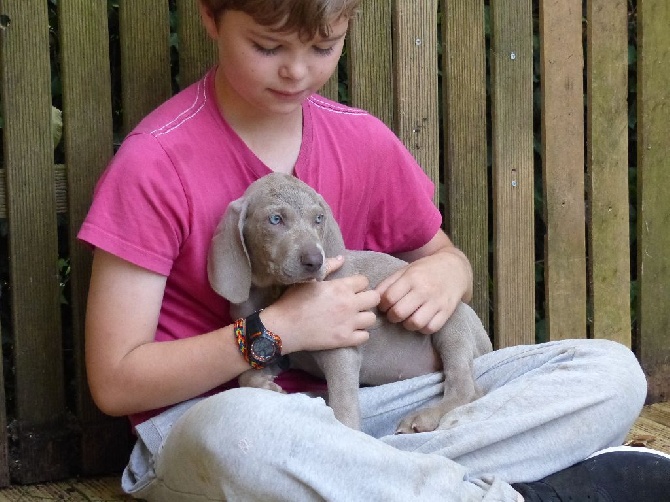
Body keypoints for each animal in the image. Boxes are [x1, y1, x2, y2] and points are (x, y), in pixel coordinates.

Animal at [210, 173, 494, 432]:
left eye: (319, 218)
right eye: (275, 219)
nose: (315, 260)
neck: (275, 291)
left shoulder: (343, 350)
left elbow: (344, 407)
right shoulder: (278, 345)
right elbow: (245, 375)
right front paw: (266, 385)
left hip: (452, 321)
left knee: (466, 387)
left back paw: (423, 418)